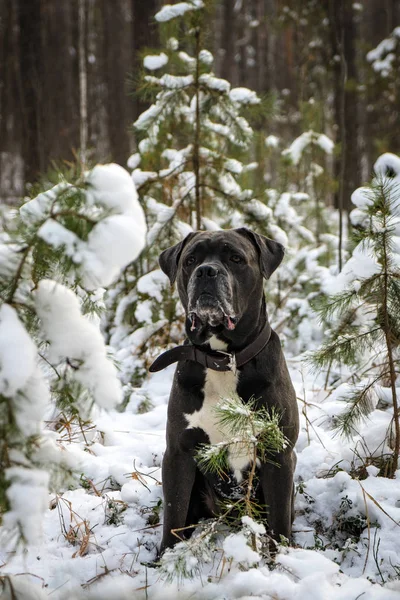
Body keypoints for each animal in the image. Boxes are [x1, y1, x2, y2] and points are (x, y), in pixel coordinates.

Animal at [152, 229, 298, 552]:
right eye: (190, 260)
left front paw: (281, 558)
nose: (206, 271)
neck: (222, 358)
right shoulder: (178, 454)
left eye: (235, 258)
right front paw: (165, 558)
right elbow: (173, 517)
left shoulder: (279, 455)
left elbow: (280, 523)